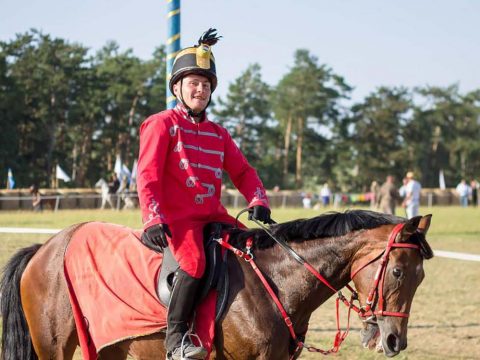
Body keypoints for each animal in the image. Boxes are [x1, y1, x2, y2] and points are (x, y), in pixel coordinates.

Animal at [0, 210, 436, 358]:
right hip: (54, 348)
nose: (394, 340)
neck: (274, 280)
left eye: (421, 278)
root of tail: (46, 247)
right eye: (398, 272)